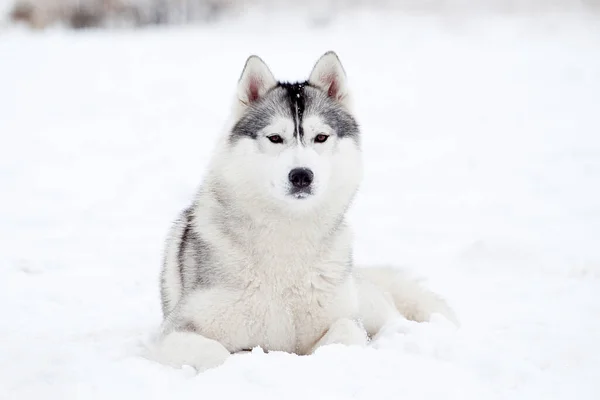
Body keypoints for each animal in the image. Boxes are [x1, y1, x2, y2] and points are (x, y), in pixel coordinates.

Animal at [152, 52, 458, 372]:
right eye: (275, 138)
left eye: (321, 137)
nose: (301, 175)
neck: (288, 235)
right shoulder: (175, 332)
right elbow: (218, 355)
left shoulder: (345, 319)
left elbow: (345, 334)